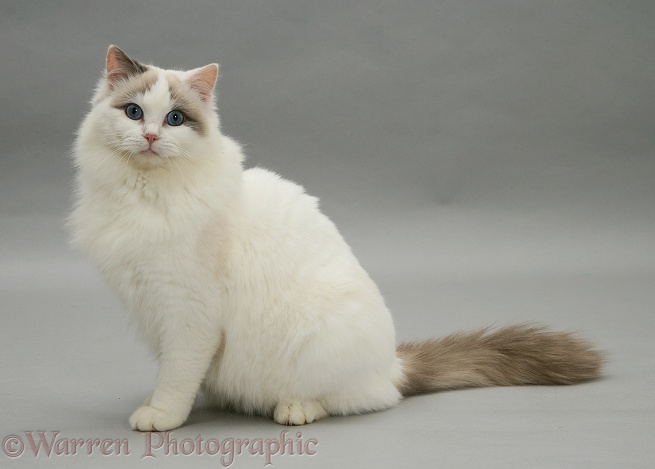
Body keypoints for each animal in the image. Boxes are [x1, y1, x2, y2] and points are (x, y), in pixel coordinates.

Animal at [68, 45, 604, 430]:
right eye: (134, 112)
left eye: (175, 119)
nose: (151, 137)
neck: (143, 197)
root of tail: (392, 363)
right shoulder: (152, 304)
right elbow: (174, 371)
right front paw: (159, 401)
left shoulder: (187, 310)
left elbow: (178, 375)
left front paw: (162, 415)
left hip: (317, 341)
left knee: (357, 399)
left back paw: (294, 409)